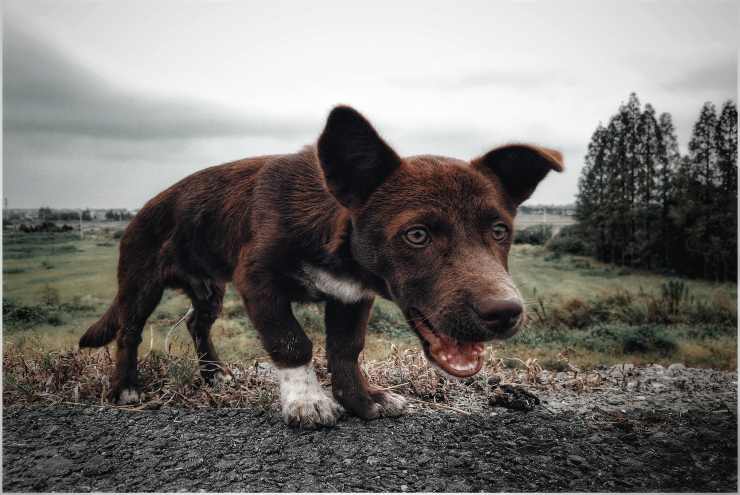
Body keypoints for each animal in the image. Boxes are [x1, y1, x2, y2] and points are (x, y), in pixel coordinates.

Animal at [79, 106, 560, 428]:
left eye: (499, 230)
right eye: (417, 235)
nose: (505, 313)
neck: (335, 235)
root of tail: (142, 208)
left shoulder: (352, 296)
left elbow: (346, 350)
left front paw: (362, 400)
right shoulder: (257, 279)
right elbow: (292, 342)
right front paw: (306, 401)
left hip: (209, 289)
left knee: (199, 324)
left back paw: (214, 375)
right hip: (140, 281)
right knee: (129, 331)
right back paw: (125, 387)